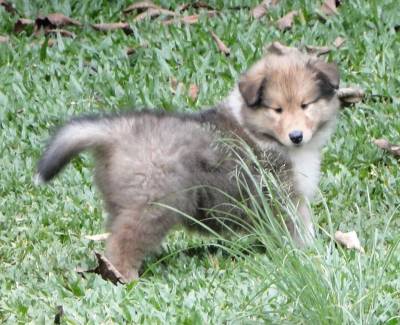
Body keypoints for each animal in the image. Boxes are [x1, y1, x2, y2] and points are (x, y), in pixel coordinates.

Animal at [36, 42, 340, 280]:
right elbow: (301, 230)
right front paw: (311, 254)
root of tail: (118, 131)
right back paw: (126, 278)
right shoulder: (285, 198)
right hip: (151, 206)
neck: (260, 131)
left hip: (121, 205)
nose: (296, 136)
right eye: (277, 109)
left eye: (305, 105)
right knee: (123, 244)